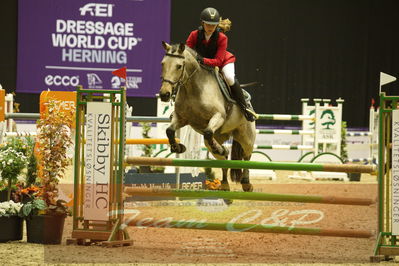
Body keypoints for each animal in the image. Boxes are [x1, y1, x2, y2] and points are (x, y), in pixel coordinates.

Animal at [159, 41, 256, 191]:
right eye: (162, 64)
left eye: (179, 66)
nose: (164, 94)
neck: (192, 89)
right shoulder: (181, 118)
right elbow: (169, 130)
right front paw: (178, 147)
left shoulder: (219, 116)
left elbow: (208, 131)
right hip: (219, 137)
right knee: (223, 158)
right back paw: (224, 182)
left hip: (246, 137)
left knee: (247, 156)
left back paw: (246, 183)